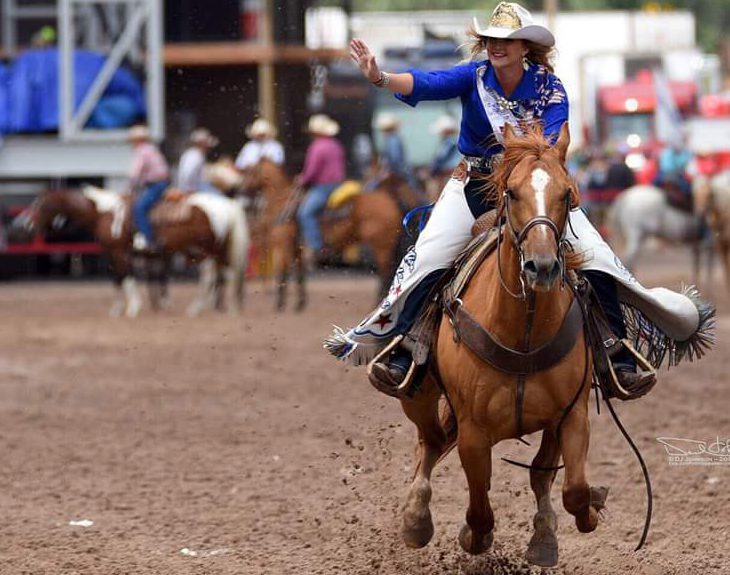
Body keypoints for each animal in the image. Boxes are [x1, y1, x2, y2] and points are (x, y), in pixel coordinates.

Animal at [15, 188, 249, 316]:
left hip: (205, 250)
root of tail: (227, 204)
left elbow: (126, 277)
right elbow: (118, 279)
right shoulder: (114, 254)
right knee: (224, 274)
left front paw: (132, 308)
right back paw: (221, 307)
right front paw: (117, 310)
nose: (25, 226)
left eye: (41, 204)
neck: (105, 213)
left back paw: (197, 308)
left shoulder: (119, 251)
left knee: (210, 276)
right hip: (217, 249)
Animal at [243, 160, 404, 312]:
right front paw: (300, 304)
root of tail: (389, 201)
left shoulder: (284, 245)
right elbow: (300, 274)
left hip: (381, 247)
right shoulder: (297, 248)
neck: (282, 204)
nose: (241, 189)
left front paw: (280, 305)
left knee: (384, 273)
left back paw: (377, 304)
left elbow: (283, 272)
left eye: (251, 170)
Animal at [396, 124, 604, 568]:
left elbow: (570, 487)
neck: (522, 332)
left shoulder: (571, 414)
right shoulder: (474, 433)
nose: (541, 267)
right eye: (512, 192)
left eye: (567, 194)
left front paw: (570, 521)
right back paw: (416, 519)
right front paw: (472, 537)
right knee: (429, 440)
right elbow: (480, 509)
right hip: (417, 394)